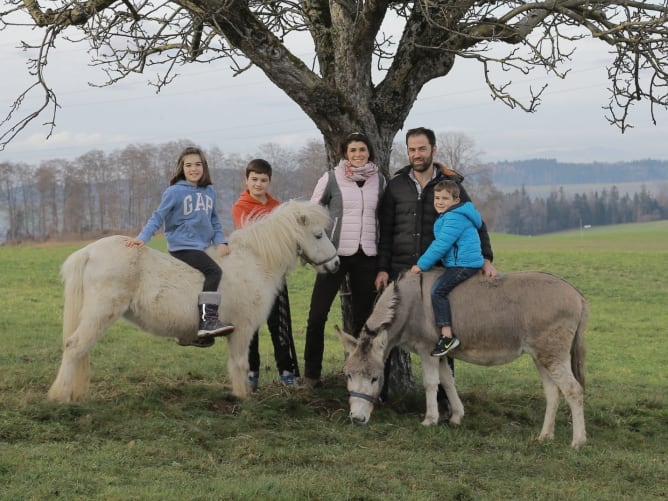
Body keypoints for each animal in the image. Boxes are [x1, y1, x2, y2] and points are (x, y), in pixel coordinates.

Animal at [48, 199, 340, 402]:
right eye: (318, 235)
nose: (336, 264)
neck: (253, 261)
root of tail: (89, 251)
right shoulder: (242, 330)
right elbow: (240, 364)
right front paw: (243, 398)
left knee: (81, 351)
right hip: (100, 314)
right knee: (74, 347)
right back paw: (59, 396)